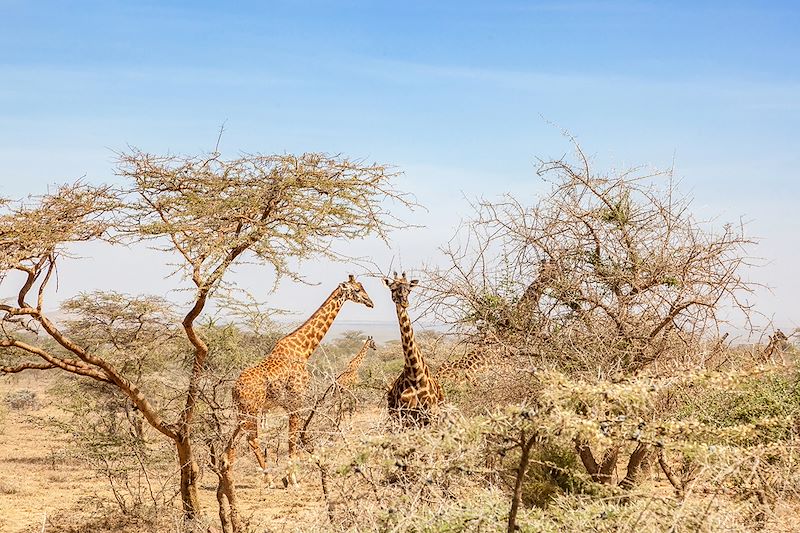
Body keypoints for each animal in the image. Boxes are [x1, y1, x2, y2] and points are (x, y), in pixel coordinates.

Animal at [228, 274, 372, 482]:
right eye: (358, 289)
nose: (371, 302)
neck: (305, 350)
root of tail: (234, 389)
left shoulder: (292, 404)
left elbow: (293, 438)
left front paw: (290, 477)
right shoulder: (296, 400)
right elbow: (292, 439)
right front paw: (292, 478)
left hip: (242, 412)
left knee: (232, 440)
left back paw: (226, 476)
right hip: (252, 410)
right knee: (252, 438)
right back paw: (269, 480)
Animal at [382, 270, 444, 424]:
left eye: (409, 289)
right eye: (392, 288)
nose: (405, 302)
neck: (414, 373)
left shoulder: (430, 412)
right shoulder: (406, 413)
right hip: (394, 415)